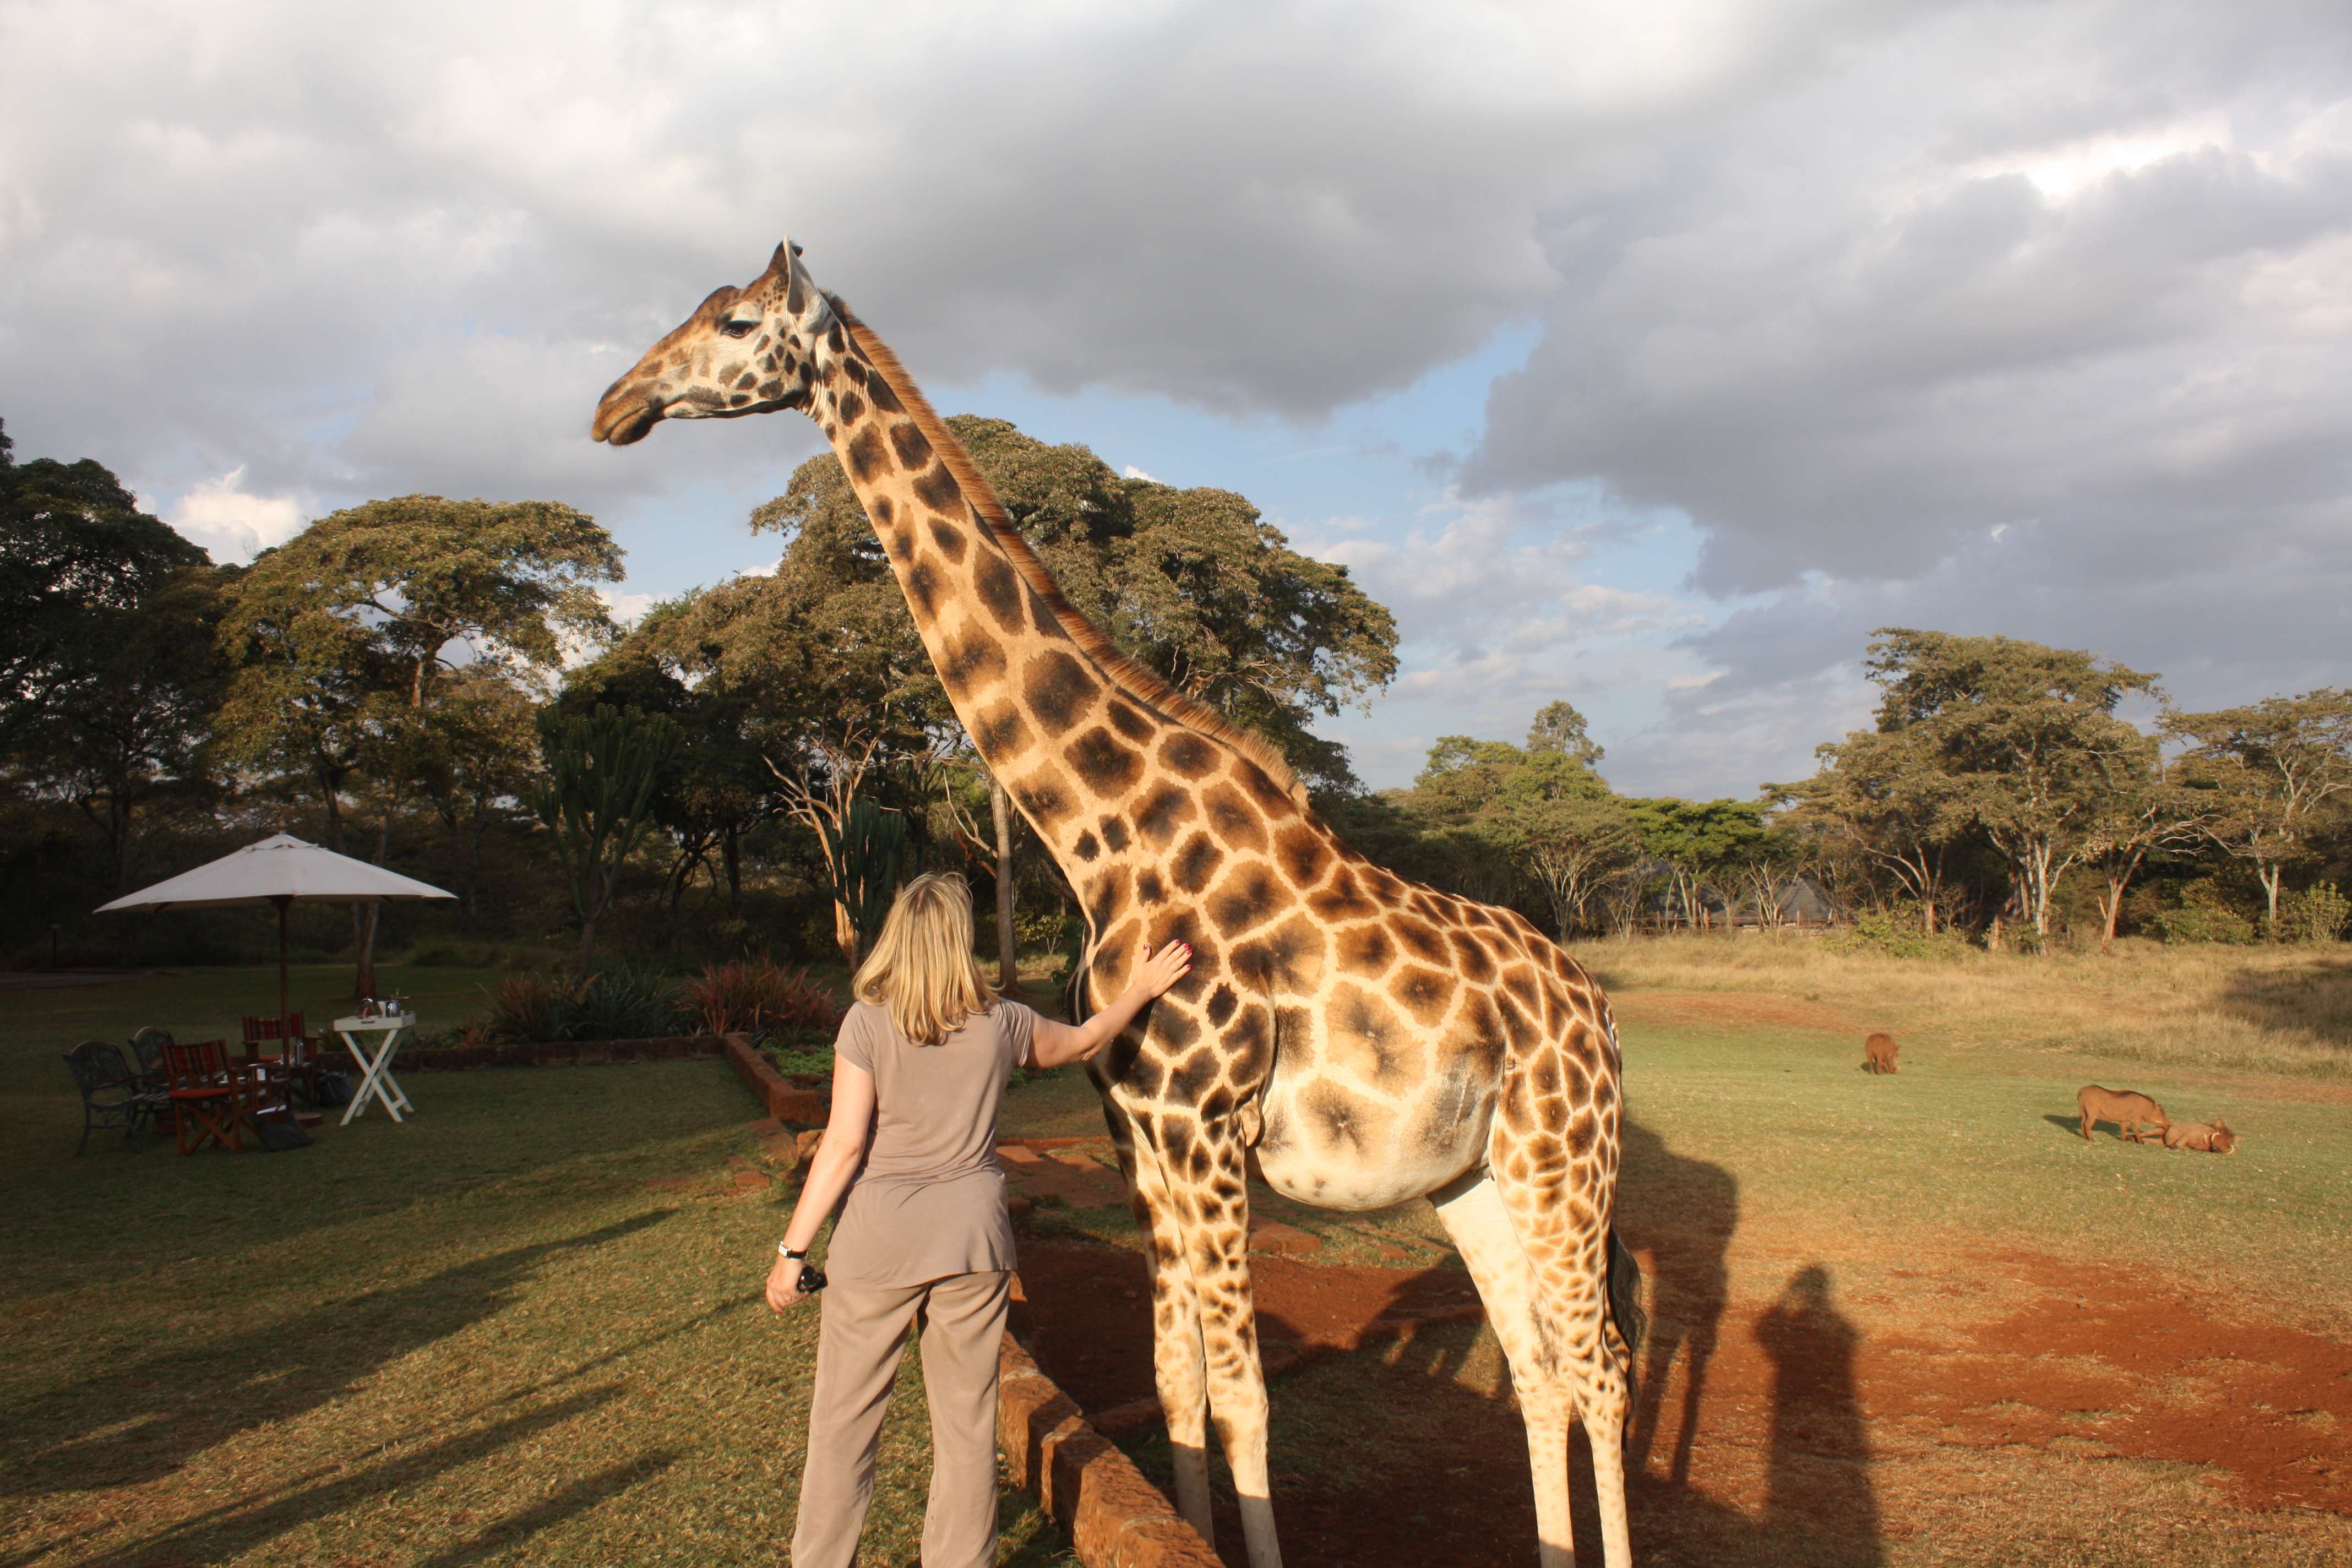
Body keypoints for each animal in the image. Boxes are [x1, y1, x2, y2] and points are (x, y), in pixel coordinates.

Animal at [592, 240, 1645, 1568]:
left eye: (733, 322)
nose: (613, 407)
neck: (1106, 839)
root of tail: (1597, 1008)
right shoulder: (1140, 1135)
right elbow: (1178, 1378)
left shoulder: (1207, 1129)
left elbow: (1245, 1395)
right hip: (1473, 1174)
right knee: (1539, 1365)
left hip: (1565, 1157)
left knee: (1603, 1365)